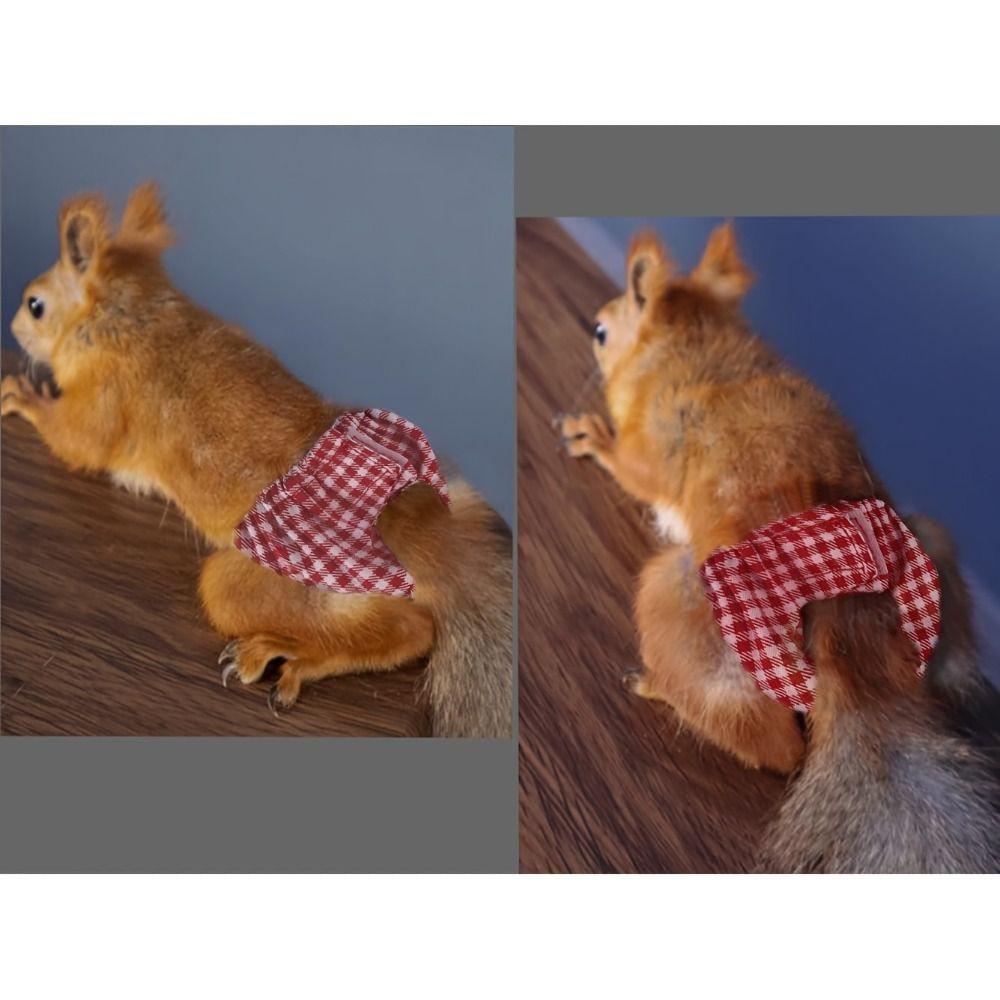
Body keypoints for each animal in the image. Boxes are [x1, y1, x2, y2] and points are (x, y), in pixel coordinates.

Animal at [2, 183, 512, 738]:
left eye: (35, 305)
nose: (12, 324)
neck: (135, 314)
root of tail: (408, 522)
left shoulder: (109, 390)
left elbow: (79, 441)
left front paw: (22, 395)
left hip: (279, 582)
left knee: (405, 626)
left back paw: (284, 653)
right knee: (413, 629)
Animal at [558, 223, 999, 871]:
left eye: (600, 332)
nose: (590, 329)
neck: (693, 344)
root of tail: (849, 611)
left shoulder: (656, 442)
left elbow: (632, 468)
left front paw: (591, 434)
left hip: (688, 605)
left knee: (779, 751)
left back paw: (659, 688)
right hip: (936, 574)